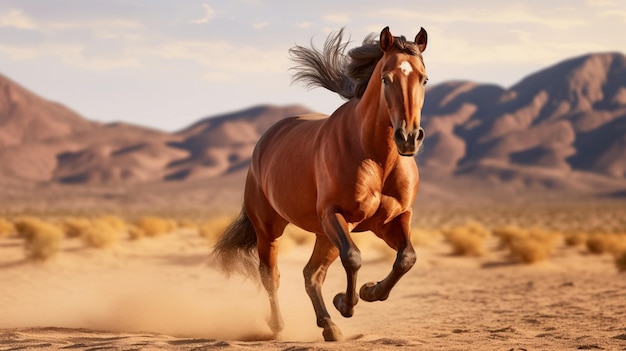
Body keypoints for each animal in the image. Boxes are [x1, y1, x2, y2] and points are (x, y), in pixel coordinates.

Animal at [212, 26, 426, 342]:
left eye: (424, 78)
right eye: (386, 78)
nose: (409, 137)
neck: (376, 159)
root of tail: (266, 140)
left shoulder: (391, 219)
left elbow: (406, 258)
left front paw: (370, 291)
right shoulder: (334, 215)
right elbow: (353, 258)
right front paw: (346, 303)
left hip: (324, 235)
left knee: (311, 274)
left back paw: (329, 325)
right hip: (271, 229)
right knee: (271, 275)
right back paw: (278, 325)